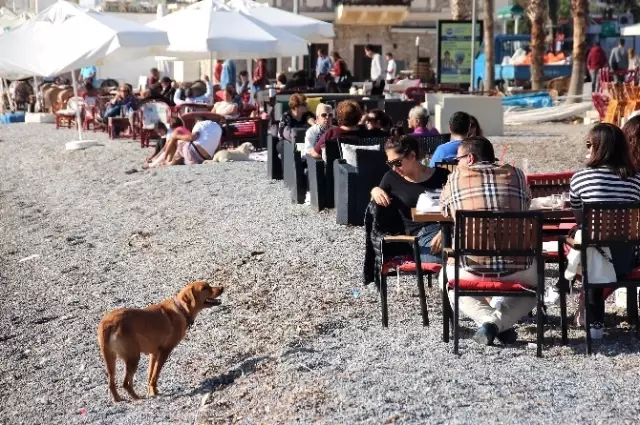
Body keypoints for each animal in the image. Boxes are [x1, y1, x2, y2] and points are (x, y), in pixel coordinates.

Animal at [96, 280, 224, 402]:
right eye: (204, 288)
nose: (222, 288)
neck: (181, 309)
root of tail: (109, 323)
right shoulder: (164, 351)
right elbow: (155, 375)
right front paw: (154, 392)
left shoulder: (154, 353)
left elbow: (150, 374)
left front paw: (151, 390)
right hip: (133, 357)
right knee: (126, 384)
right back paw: (137, 398)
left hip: (110, 359)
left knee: (111, 383)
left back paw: (118, 399)